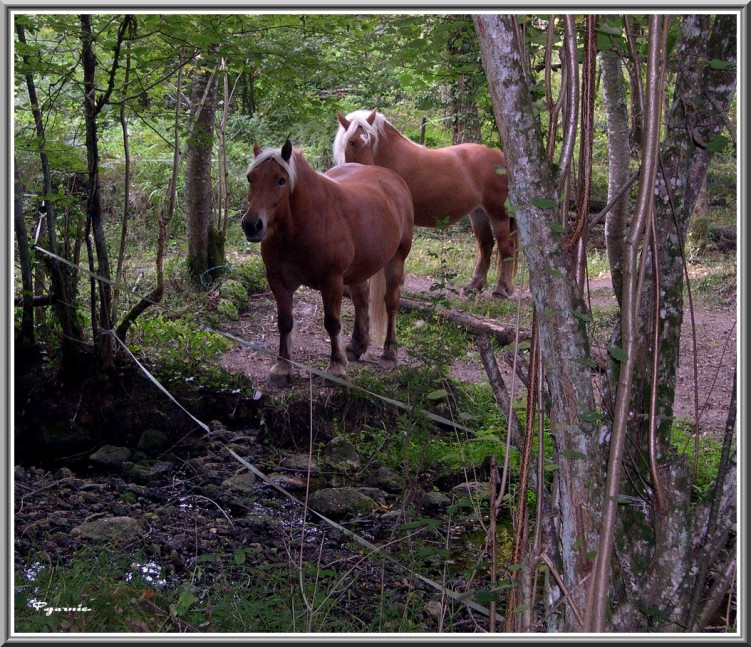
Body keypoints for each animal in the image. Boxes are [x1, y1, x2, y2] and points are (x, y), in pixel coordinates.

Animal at [244, 139, 414, 388]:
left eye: (281, 180)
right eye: (251, 178)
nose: (251, 225)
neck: (304, 223)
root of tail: (393, 179)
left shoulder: (331, 281)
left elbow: (332, 322)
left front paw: (336, 367)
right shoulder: (277, 280)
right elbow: (285, 322)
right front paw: (282, 367)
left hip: (396, 260)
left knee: (391, 303)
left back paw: (389, 354)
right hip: (360, 267)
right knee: (361, 300)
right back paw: (355, 347)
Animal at [334, 109, 516, 298]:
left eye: (372, 141)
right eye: (352, 142)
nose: (368, 168)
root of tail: (502, 158)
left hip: (498, 214)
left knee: (506, 247)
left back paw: (502, 289)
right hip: (479, 213)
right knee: (486, 245)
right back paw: (474, 285)